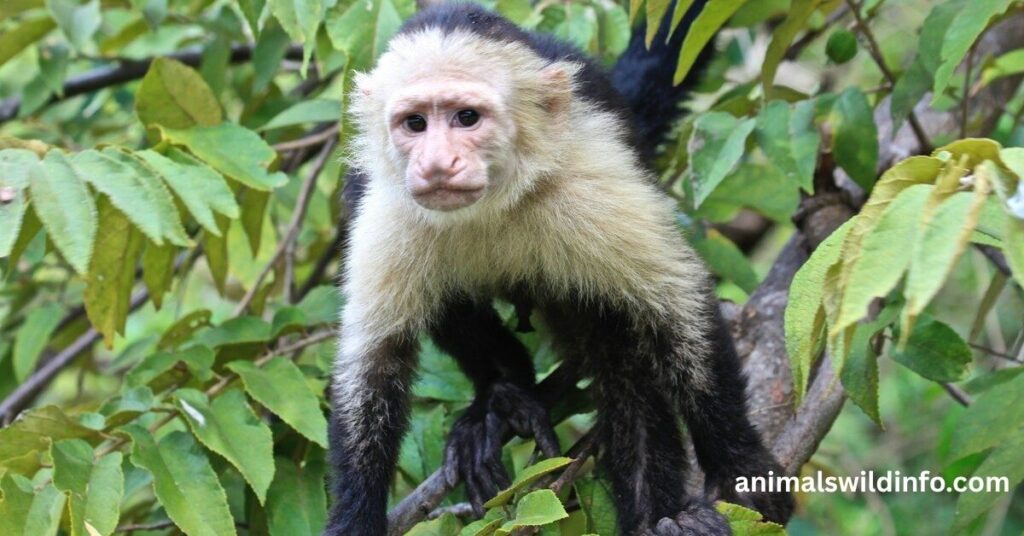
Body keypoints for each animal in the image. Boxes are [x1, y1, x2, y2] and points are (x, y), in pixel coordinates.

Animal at [326, 3, 795, 535]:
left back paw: (656, 515)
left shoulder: (587, 182)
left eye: (467, 118)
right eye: (415, 123)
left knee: (621, 348)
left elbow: (677, 302)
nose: (437, 163)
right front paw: (354, 519)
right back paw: (502, 390)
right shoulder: (389, 211)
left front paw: (739, 463)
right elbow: (372, 366)